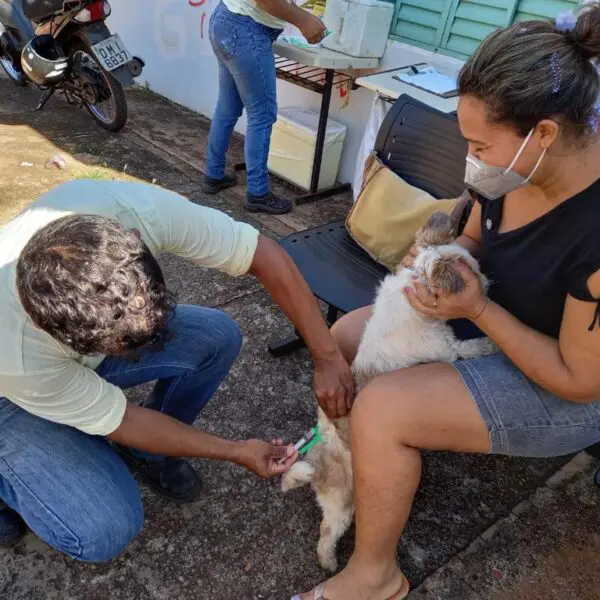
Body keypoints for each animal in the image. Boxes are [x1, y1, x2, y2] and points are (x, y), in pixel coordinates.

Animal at [282, 211, 496, 572]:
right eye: (474, 274)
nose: (489, 287)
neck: (415, 284)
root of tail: (320, 461)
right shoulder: (447, 348)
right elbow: (471, 347)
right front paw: (492, 345)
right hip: (344, 504)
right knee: (327, 535)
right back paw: (330, 563)